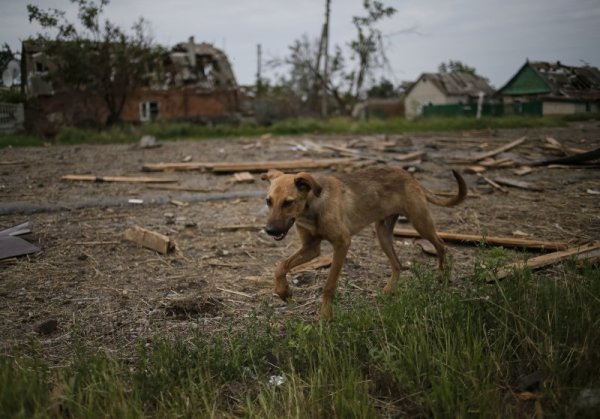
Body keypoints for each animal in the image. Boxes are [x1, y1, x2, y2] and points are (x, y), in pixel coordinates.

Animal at [260, 166, 466, 320]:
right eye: (268, 201)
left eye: (288, 203)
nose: (270, 231)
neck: (311, 206)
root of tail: (410, 177)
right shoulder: (311, 248)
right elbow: (280, 266)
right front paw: (283, 292)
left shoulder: (342, 244)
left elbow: (329, 285)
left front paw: (325, 316)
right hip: (383, 233)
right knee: (398, 264)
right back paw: (389, 290)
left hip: (420, 222)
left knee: (441, 244)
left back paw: (442, 275)